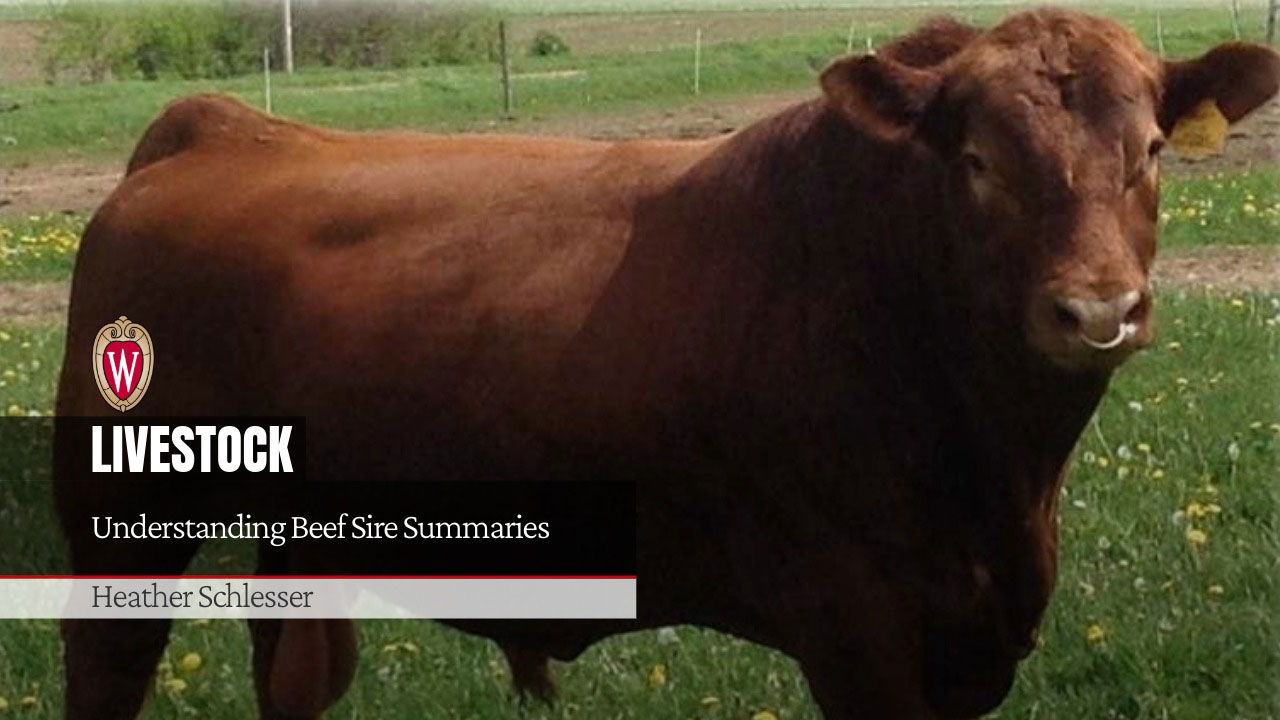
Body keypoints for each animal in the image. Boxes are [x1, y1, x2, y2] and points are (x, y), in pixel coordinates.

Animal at [53, 7, 1279, 720]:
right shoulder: (859, 630)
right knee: (108, 662)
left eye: (1153, 150)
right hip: (119, 524)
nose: (1097, 310)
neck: (1001, 479)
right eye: (975, 159)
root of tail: (215, 130)